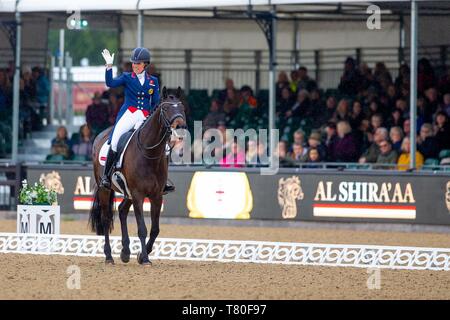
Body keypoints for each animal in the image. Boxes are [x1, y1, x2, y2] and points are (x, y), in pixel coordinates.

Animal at [89, 87, 186, 264]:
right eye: (165, 108)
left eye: (182, 108)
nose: (180, 127)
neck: (149, 153)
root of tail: (101, 135)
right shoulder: (138, 195)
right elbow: (142, 228)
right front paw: (145, 259)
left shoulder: (156, 196)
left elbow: (155, 229)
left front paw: (141, 255)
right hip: (105, 189)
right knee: (106, 219)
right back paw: (109, 256)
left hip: (128, 193)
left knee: (122, 211)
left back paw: (125, 252)